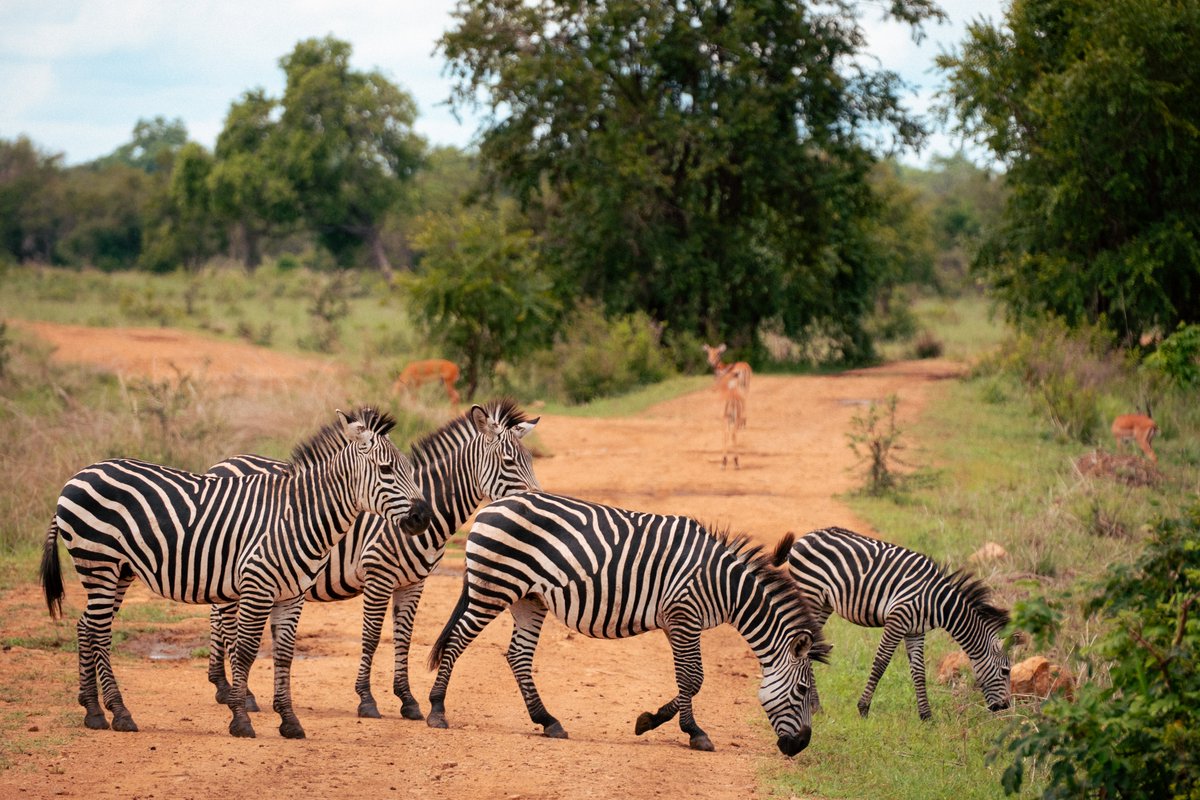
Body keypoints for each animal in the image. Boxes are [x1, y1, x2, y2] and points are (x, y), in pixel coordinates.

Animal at [39, 407, 433, 739]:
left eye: (410, 469)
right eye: (386, 470)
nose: (423, 517)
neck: (297, 515)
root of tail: (77, 476)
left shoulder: (292, 595)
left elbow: (284, 655)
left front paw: (289, 722)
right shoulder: (258, 586)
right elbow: (244, 651)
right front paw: (241, 720)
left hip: (117, 570)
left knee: (86, 626)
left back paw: (93, 710)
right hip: (99, 562)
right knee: (100, 632)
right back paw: (119, 713)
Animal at [204, 399, 541, 720]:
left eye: (530, 460)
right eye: (509, 462)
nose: (535, 501)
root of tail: (221, 464)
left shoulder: (414, 583)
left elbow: (404, 638)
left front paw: (408, 700)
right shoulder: (378, 575)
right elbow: (372, 637)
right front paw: (367, 699)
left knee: (217, 617)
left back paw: (222, 686)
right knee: (226, 622)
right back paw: (241, 694)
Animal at [425, 492, 831, 756]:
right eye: (801, 691)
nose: (799, 747)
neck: (725, 586)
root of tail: (490, 506)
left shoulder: (674, 622)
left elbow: (687, 679)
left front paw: (650, 720)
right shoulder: (684, 616)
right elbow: (694, 678)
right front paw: (694, 732)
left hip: (529, 598)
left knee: (518, 657)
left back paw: (548, 721)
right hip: (493, 587)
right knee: (457, 640)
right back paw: (437, 710)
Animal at [772, 526, 1011, 721]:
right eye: (1006, 671)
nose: (1005, 707)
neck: (938, 602)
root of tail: (802, 538)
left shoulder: (915, 631)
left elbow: (919, 671)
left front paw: (926, 716)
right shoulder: (897, 620)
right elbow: (880, 663)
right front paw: (863, 708)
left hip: (824, 603)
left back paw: (815, 707)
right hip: (810, 593)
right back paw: (814, 706)